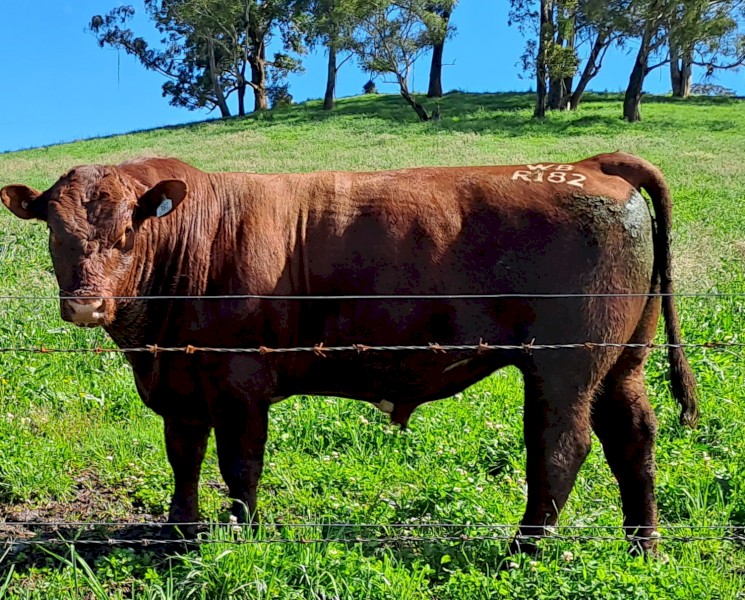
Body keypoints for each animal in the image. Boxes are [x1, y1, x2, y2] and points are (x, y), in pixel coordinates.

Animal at [1, 152, 698, 554]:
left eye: (127, 231)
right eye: (55, 233)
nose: (86, 305)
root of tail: (590, 163)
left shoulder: (240, 379)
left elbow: (239, 464)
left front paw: (241, 534)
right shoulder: (180, 383)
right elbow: (184, 458)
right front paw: (179, 532)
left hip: (563, 361)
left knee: (560, 446)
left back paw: (524, 549)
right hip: (622, 357)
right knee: (632, 436)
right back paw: (643, 545)